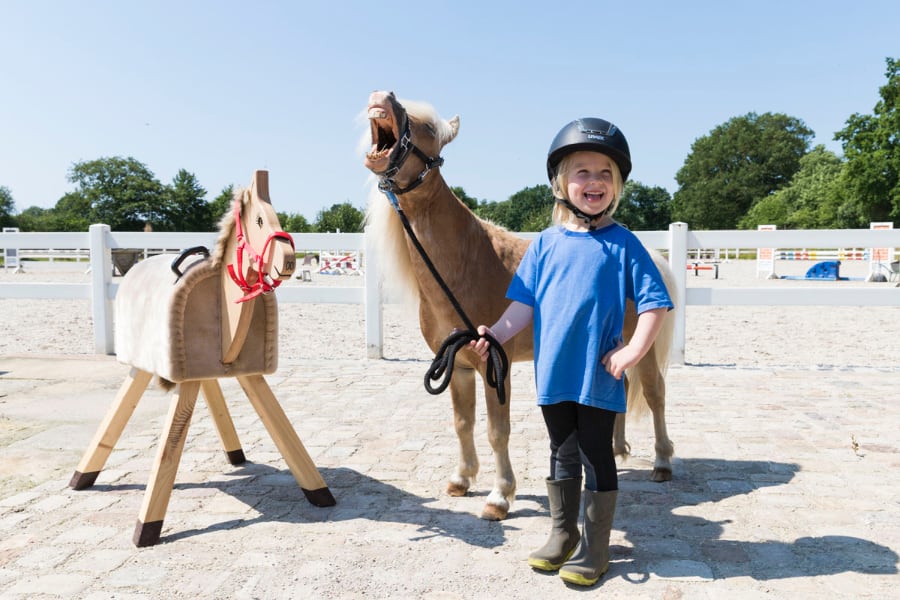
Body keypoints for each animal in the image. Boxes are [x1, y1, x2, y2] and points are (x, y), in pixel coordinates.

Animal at [360, 89, 676, 520]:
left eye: (426, 127)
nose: (381, 96)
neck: (467, 262)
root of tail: (649, 256)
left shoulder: (496, 364)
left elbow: (497, 431)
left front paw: (499, 496)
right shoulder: (458, 366)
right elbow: (462, 423)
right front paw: (461, 480)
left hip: (640, 349)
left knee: (656, 394)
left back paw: (662, 463)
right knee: (621, 388)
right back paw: (615, 449)